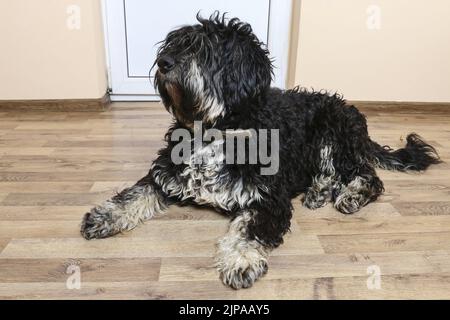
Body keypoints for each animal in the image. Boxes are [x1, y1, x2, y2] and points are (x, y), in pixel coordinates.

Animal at [80, 13, 440, 290]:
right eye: (174, 44)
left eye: (206, 51)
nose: (163, 62)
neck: (218, 129)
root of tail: (351, 111)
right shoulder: (165, 172)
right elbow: (134, 194)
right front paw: (103, 216)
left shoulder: (268, 198)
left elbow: (246, 230)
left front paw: (240, 261)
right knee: (334, 174)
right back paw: (318, 193)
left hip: (334, 133)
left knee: (368, 177)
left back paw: (347, 196)